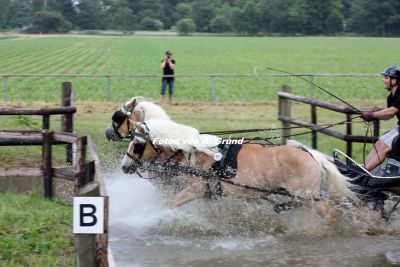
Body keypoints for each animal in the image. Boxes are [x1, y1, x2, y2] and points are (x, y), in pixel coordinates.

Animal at [120, 120, 358, 225]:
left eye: (137, 144)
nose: (124, 166)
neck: (195, 154)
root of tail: (311, 155)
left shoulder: (194, 190)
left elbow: (168, 205)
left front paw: (152, 218)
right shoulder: (208, 193)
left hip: (308, 197)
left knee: (331, 214)